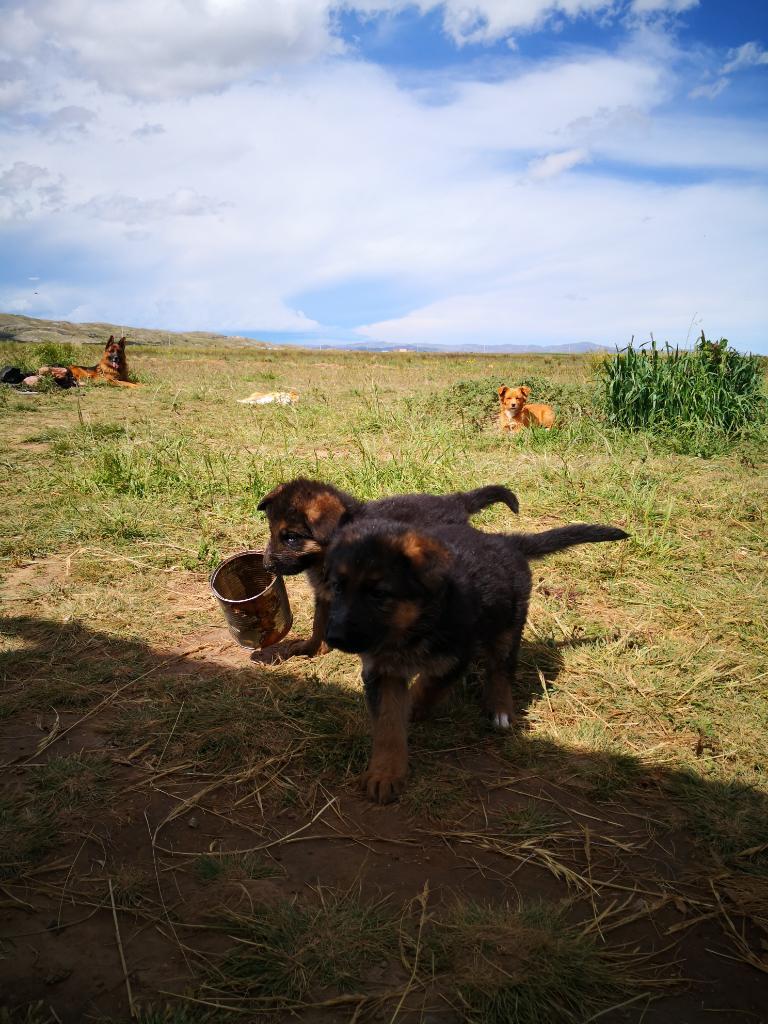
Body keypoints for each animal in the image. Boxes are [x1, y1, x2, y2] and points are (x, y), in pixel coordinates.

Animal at [256, 479, 520, 663]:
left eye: (291, 538)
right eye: (272, 532)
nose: (266, 566)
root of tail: (456, 501)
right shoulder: (325, 595)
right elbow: (318, 624)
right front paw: (310, 649)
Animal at [321, 520, 626, 798]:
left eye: (379, 593)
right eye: (337, 587)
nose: (333, 637)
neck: (414, 626)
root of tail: (506, 541)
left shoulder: (455, 657)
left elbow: (428, 687)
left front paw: (414, 707)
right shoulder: (382, 671)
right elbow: (388, 724)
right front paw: (385, 773)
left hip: (507, 627)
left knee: (501, 669)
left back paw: (500, 708)